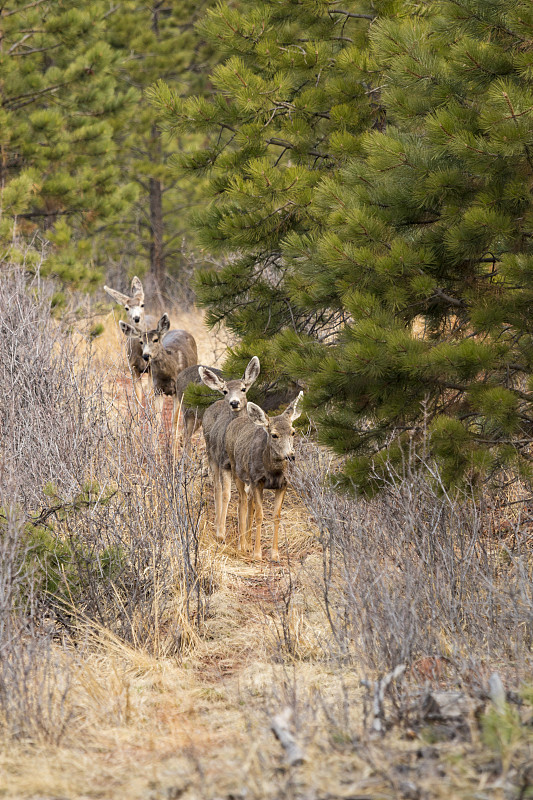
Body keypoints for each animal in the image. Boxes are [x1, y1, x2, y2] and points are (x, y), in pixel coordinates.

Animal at [102, 276, 156, 404]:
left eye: (142, 304)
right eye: (126, 308)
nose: (136, 318)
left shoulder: (151, 368)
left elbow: (151, 395)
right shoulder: (133, 368)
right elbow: (138, 397)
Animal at [118, 310, 197, 454]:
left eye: (155, 340)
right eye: (141, 341)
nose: (146, 356)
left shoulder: (177, 391)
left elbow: (174, 421)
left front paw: (174, 453)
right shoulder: (157, 389)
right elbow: (157, 420)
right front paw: (155, 452)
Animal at [197, 360, 260, 544]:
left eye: (243, 388)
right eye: (225, 391)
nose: (234, 402)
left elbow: (246, 498)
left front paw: (245, 537)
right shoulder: (224, 463)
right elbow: (226, 494)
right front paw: (221, 533)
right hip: (211, 454)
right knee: (217, 488)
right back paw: (218, 524)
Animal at [223, 390, 304, 560]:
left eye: (293, 432)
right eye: (274, 435)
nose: (290, 456)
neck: (272, 471)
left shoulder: (284, 484)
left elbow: (276, 516)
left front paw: (275, 554)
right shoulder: (257, 481)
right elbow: (260, 515)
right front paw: (257, 553)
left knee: (249, 502)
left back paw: (247, 542)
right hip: (236, 470)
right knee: (242, 502)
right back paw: (242, 545)